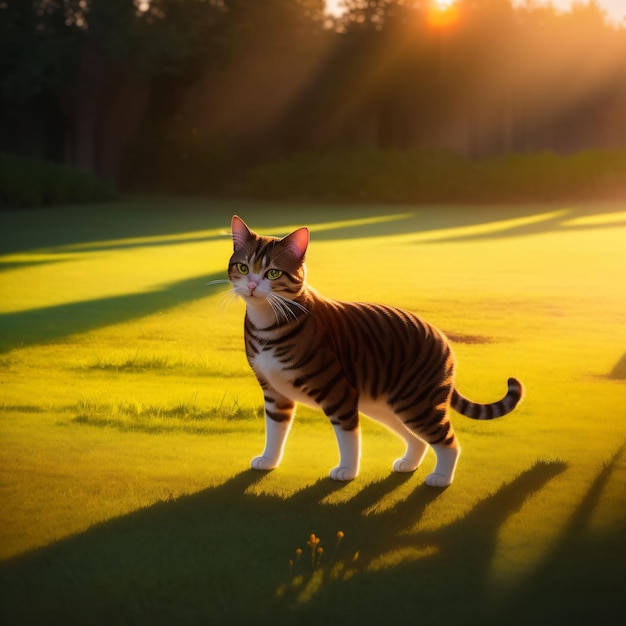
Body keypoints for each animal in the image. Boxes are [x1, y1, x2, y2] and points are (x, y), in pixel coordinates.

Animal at [225, 212, 520, 486]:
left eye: (272, 272)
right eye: (243, 267)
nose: (252, 285)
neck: (267, 323)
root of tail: (442, 336)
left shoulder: (338, 393)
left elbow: (348, 438)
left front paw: (347, 471)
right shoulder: (274, 392)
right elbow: (275, 431)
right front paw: (269, 460)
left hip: (418, 403)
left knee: (449, 442)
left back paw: (442, 478)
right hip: (388, 404)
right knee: (418, 439)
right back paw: (408, 464)